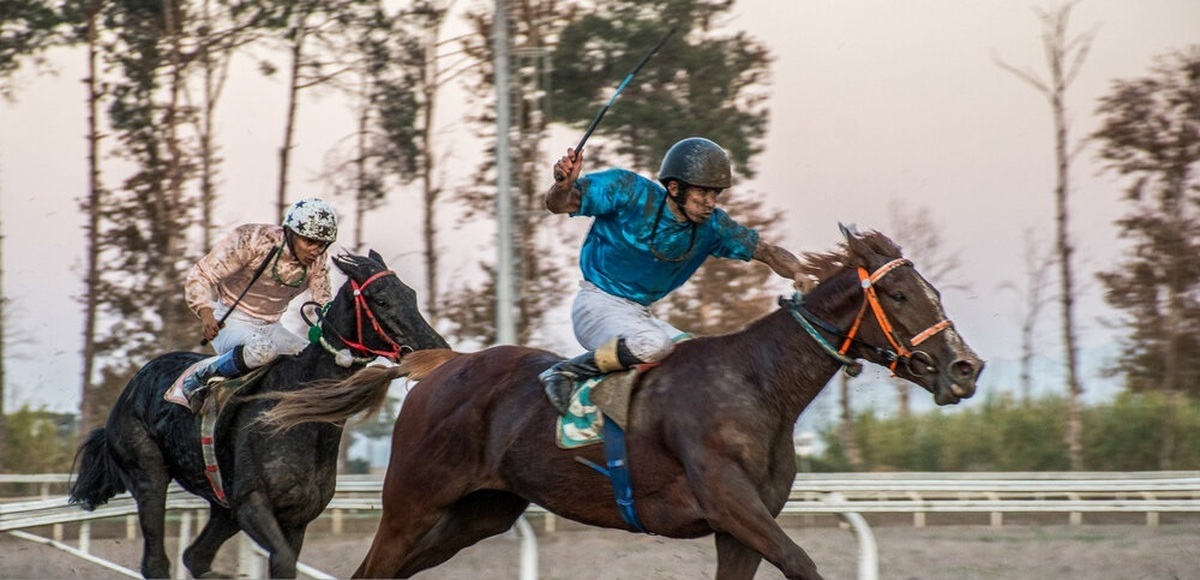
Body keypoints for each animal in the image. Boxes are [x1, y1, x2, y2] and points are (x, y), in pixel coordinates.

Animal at [66, 253, 451, 580]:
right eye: (381, 299)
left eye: (411, 294)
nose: (436, 349)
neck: (298, 415)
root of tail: (136, 382)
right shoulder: (253, 505)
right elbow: (281, 560)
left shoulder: (295, 518)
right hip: (148, 474)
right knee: (157, 561)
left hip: (223, 507)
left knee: (195, 556)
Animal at [262, 228, 984, 580]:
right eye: (899, 296)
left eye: (934, 290)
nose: (966, 367)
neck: (755, 384)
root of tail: (442, 364)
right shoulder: (731, 504)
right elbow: (804, 564)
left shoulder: (739, 528)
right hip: (413, 503)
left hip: (479, 513)